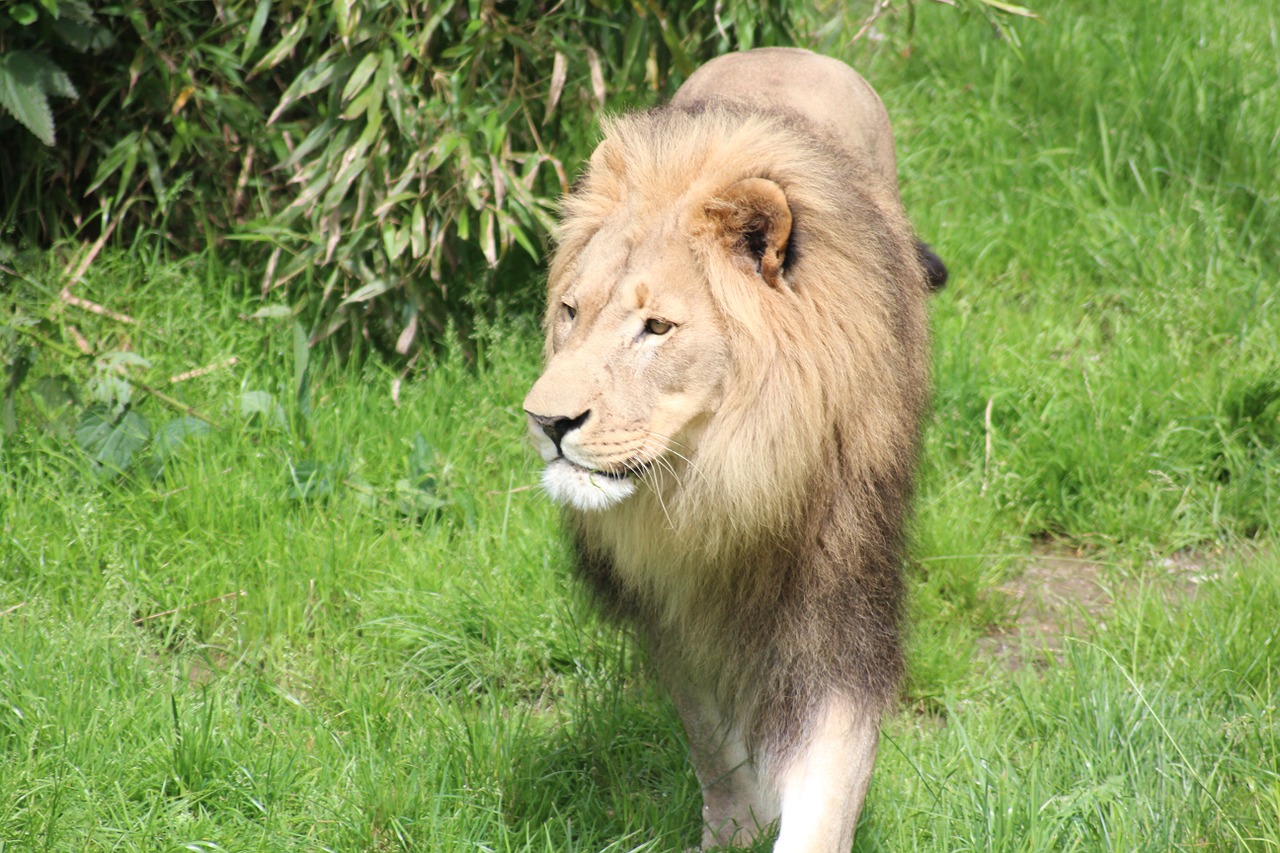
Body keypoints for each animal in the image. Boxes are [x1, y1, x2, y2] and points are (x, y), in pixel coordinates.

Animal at [519, 48, 942, 850]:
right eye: (570, 311)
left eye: (656, 327)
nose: (545, 421)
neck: (730, 476)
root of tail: (785, 50)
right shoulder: (671, 603)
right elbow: (711, 737)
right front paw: (736, 825)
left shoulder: (838, 607)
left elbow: (826, 786)